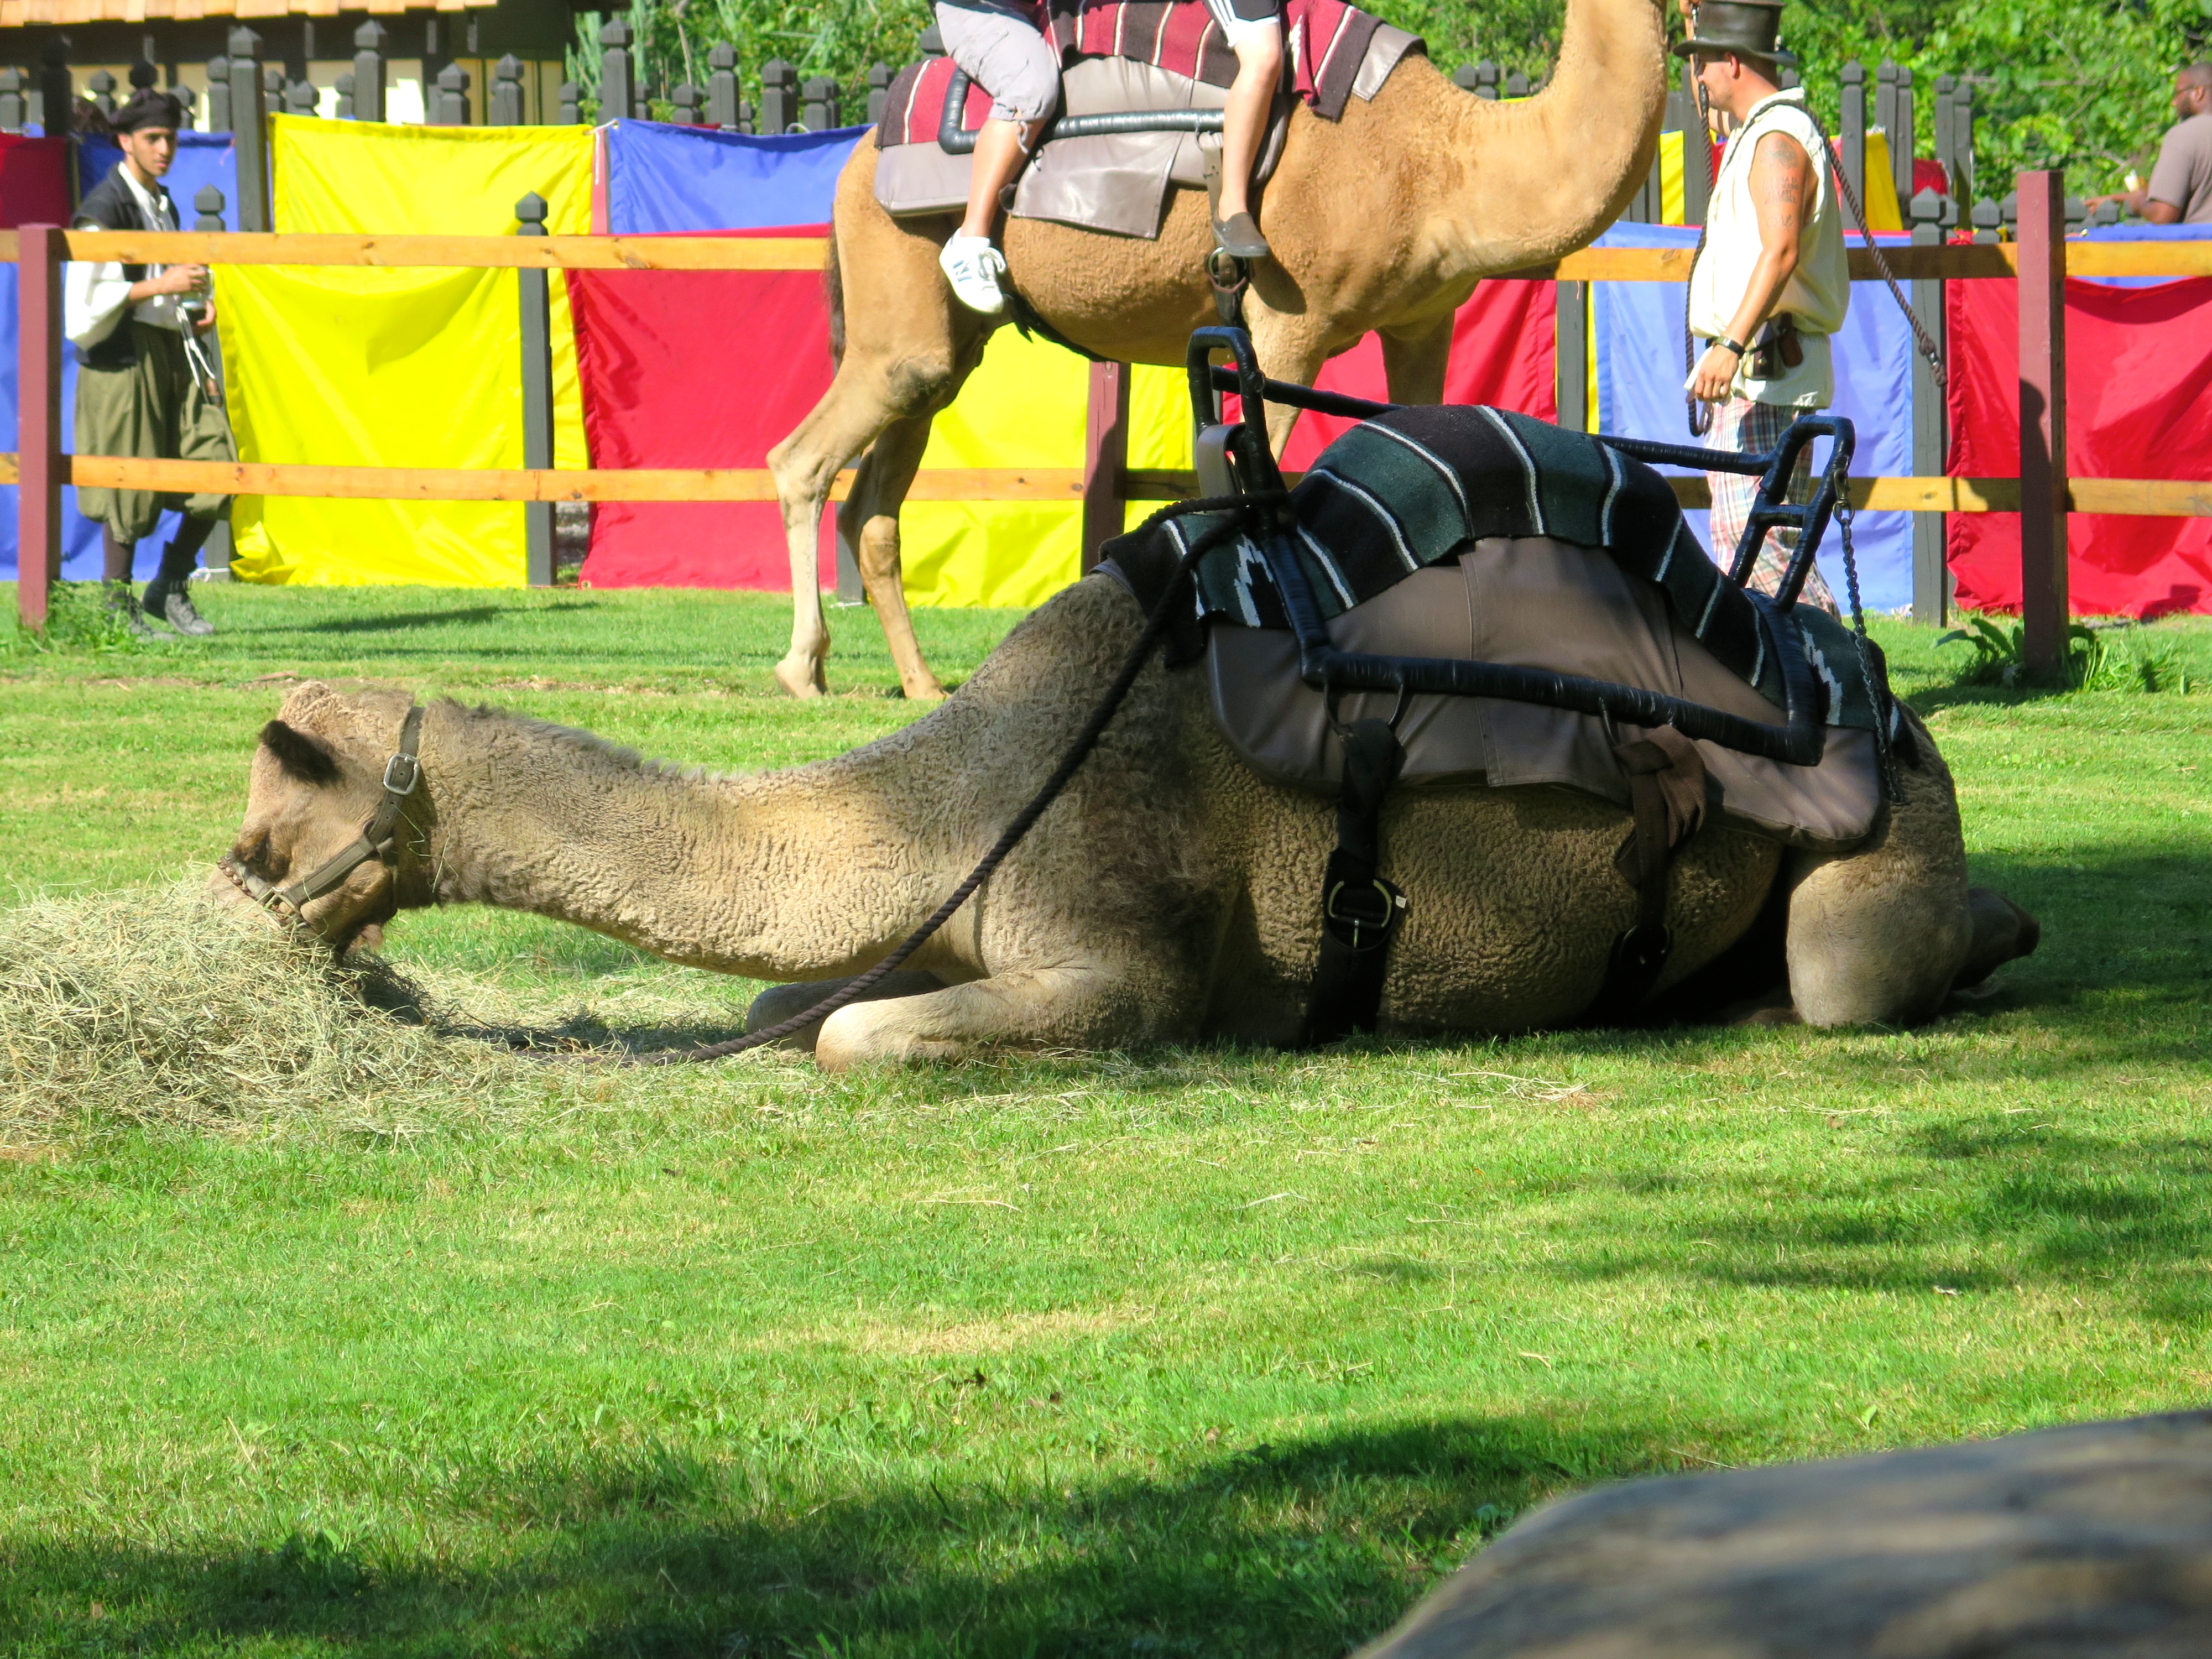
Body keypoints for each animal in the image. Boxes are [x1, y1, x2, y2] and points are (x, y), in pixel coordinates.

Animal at [212, 569, 2037, 1068]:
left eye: (266, 816)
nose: (236, 901)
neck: (958, 790)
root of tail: (1875, 684)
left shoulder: (1119, 946)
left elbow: (853, 1037)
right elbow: (793, 998)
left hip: (1881, 818)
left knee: (1848, 970)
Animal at [767, 0, 1675, 700]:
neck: (1447, 160)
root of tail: (858, 152)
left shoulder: (1423, 323)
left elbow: (1428, 450)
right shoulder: (1287, 323)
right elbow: (1263, 483)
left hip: (941, 348)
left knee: (876, 499)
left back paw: (920, 685)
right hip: (897, 286)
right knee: (802, 460)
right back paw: (802, 670)